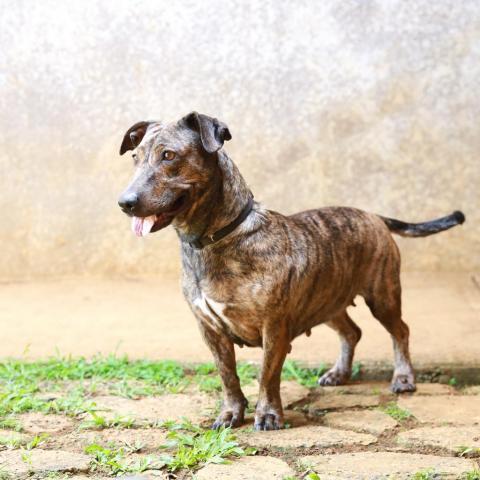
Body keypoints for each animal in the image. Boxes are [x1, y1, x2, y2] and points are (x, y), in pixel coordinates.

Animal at [118, 111, 466, 432]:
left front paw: (269, 415)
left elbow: (267, 374)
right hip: (327, 300)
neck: (215, 240)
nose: (125, 202)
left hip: (382, 295)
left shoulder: (273, 327)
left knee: (400, 331)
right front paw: (231, 413)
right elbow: (227, 375)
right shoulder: (210, 330)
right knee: (352, 332)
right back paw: (339, 373)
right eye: (135, 157)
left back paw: (404, 378)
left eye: (169, 155)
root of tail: (374, 216)